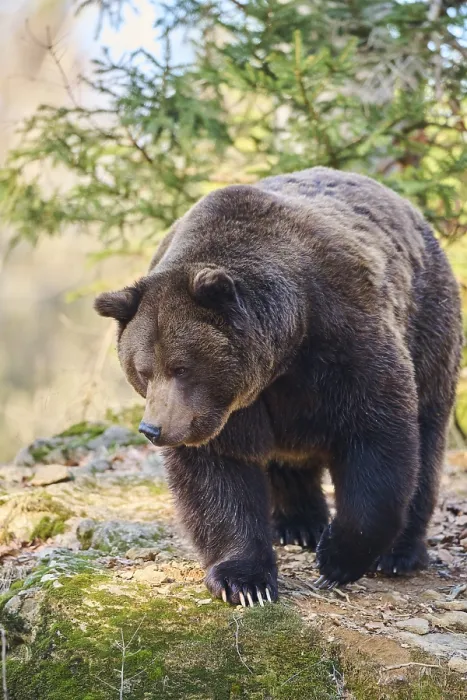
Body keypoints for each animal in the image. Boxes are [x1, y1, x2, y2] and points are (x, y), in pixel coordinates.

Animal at [94, 167, 462, 606]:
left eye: (180, 367)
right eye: (142, 371)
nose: (154, 429)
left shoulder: (342, 339)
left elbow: (377, 437)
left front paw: (337, 559)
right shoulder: (230, 411)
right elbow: (218, 475)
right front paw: (245, 582)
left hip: (428, 322)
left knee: (426, 438)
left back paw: (398, 553)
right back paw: (299, 524)